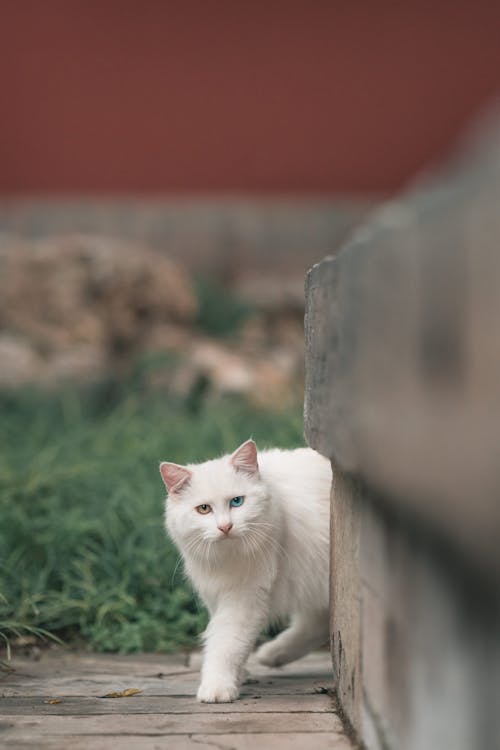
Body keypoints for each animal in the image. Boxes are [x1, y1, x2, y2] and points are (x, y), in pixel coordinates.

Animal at [160, 440, 332, 704]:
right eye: (203, 509)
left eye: (237, 502)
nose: (225, 527)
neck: (227, 558)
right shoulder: (217, 594)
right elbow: (230, 644)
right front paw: (238, 677)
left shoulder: (243, 599)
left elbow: (226, 645)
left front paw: (217, 688)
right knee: (317, 624)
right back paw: (273, 655)